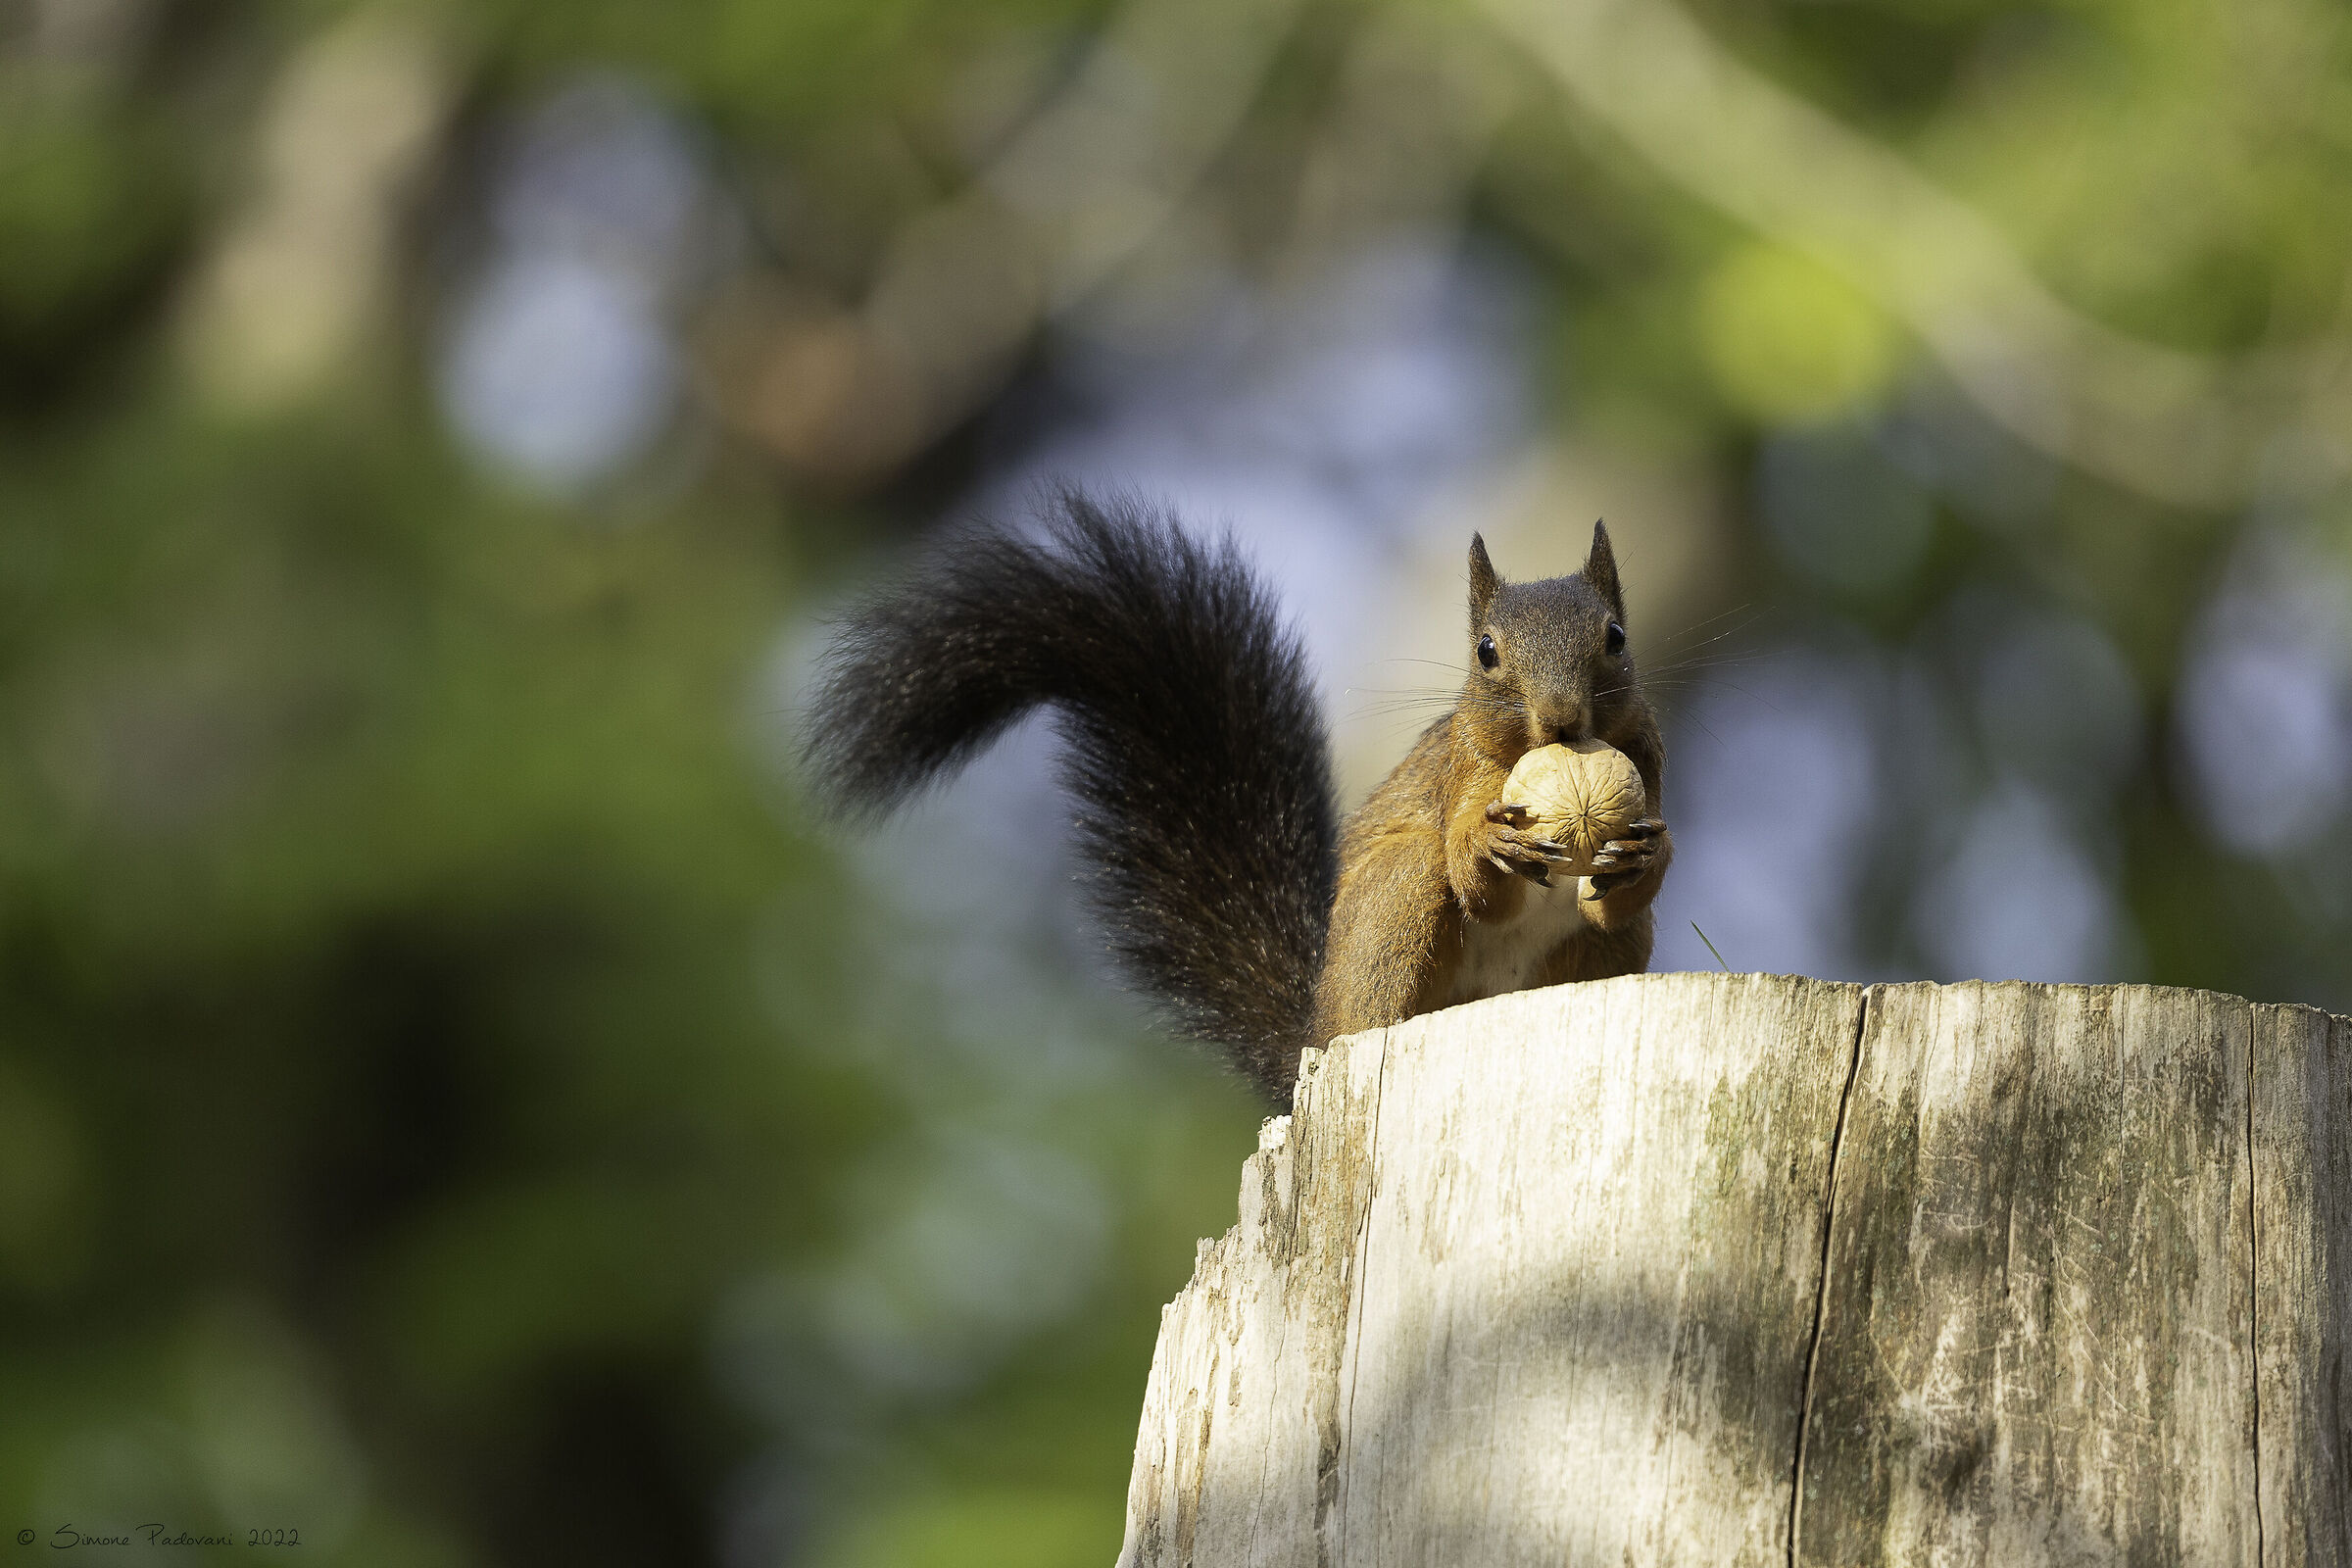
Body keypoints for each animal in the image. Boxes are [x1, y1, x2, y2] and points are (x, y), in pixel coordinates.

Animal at [801, 490, 1672, 1101]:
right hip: (1393, 907)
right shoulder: (1460, 774)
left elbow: (1624, 887)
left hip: (1606, 959)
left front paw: (1647, 854)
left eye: (1616, 638)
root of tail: (1313, 1035)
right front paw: (1490, 845)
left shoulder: (1649, 766)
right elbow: (1474, 878)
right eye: (1486, 652)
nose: (1560, 718)